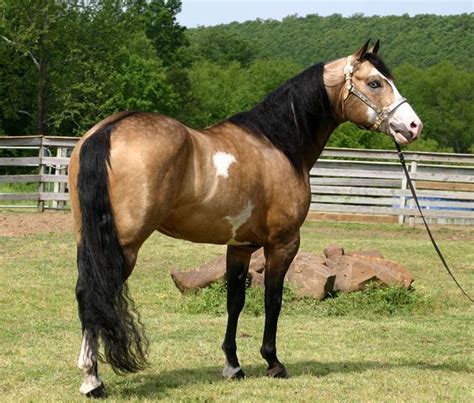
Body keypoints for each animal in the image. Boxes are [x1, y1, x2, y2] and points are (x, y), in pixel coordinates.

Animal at [67, 41, 422, 398]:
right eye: (375, 83)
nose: (413, 126)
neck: (278, 144)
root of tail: (108, 130)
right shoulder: (283, 244)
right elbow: (273, 300)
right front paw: (273, 362)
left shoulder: (239, 246)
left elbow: (234, 302)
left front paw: (233, 365)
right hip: (124, 245)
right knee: (95, 293)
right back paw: (92, 381)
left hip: (89, 240)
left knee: (85, 292)